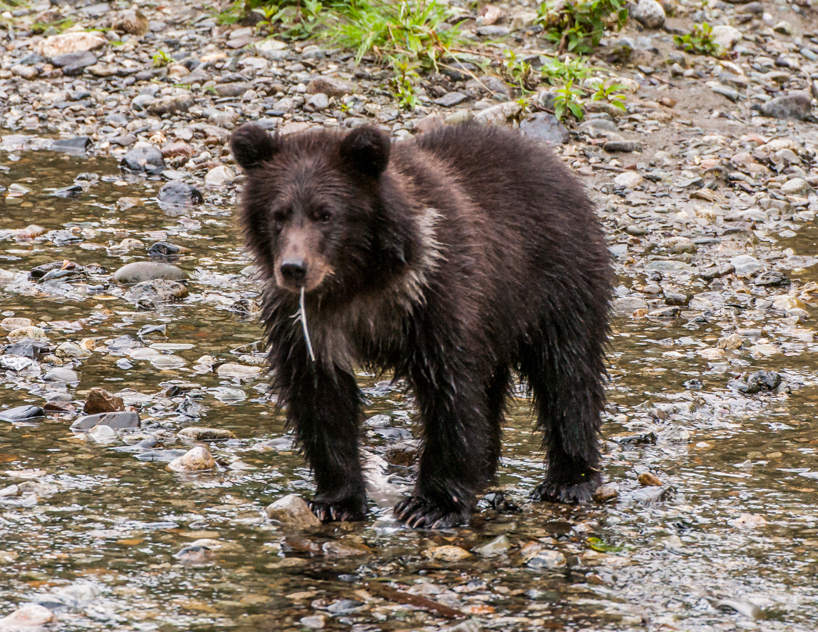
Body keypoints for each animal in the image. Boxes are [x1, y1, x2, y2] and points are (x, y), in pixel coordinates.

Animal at [230, 122, 612, 529]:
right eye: (278, 214)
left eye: (326, 214)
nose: (293, 268)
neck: (359, 282)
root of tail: (552, 163)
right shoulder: (308, 321)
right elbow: (320, 397)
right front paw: (335, 500)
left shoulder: (434, 295)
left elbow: (450, 392)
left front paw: (430, 506)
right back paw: (486, 469)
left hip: (555, 280)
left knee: (567, 373)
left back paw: (569, 480)